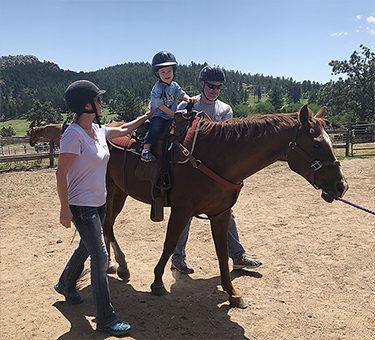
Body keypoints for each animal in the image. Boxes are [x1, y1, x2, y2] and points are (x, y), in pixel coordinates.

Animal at [103, 106, 350, 308]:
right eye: (316, 144)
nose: (342, 186)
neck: (214, 154)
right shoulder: (181, 210)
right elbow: (170, 244)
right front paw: (156, 283)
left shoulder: (220, 214)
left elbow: (222, 252)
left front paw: (233, 293)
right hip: (109, 192)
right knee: (106, 227)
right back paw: (119, 266)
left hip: (119, 192)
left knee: (107, 227)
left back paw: (113, 265)